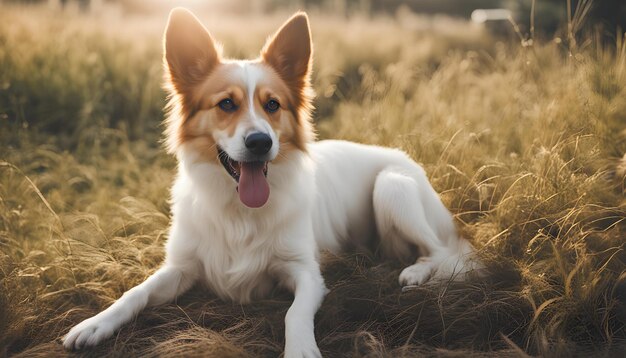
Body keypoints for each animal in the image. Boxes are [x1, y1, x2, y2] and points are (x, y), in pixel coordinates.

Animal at [62, 7, 478, 356]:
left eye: (273, 105)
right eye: (226, 104)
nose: (260, 143)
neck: (238, 210)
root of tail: (403, 156)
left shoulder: (305, 272)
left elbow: (294, 314)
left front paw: (301, 350)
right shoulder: (181, 266)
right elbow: (136, 292)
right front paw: (96, 324)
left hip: (391, 186)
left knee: (442, 252)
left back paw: (413, 272)